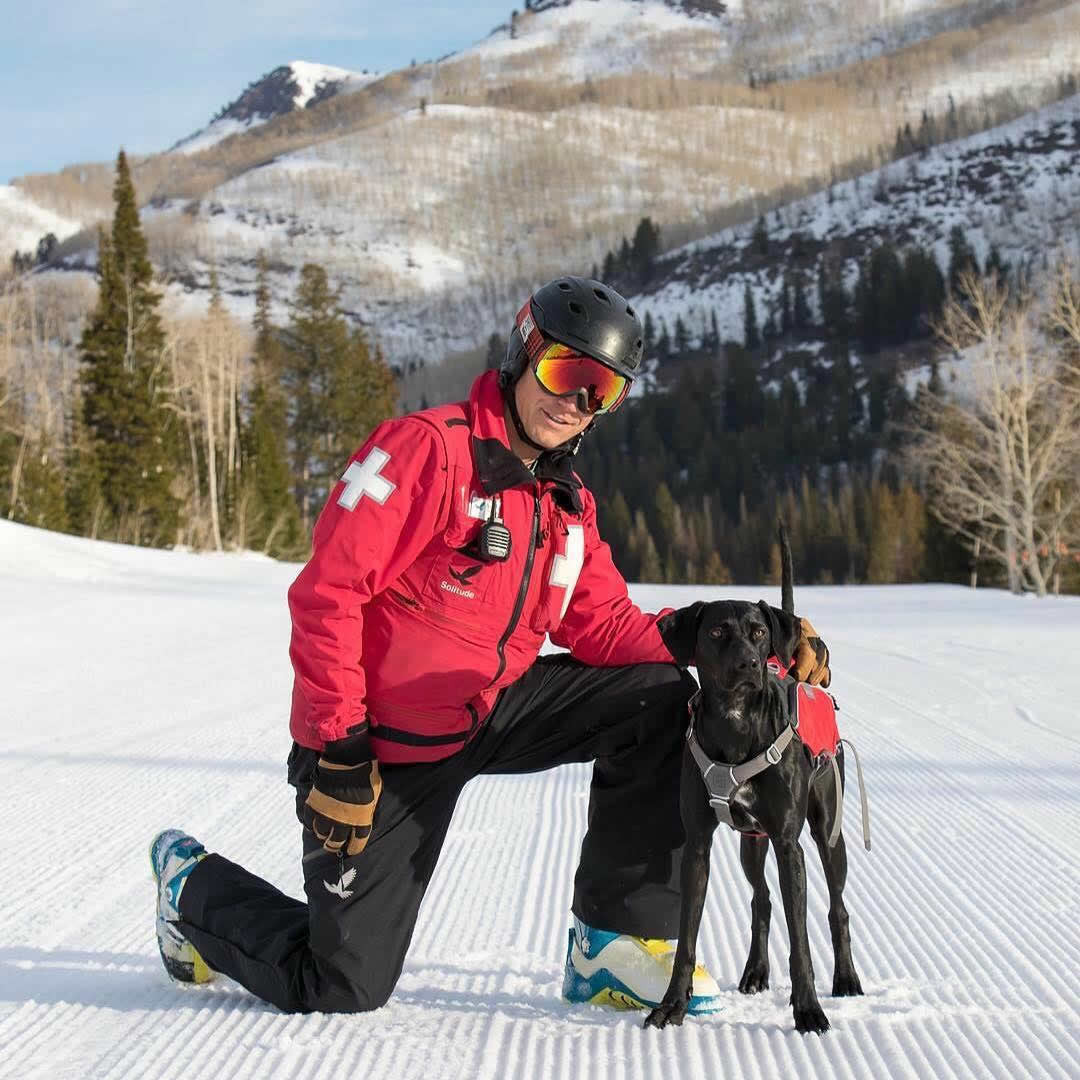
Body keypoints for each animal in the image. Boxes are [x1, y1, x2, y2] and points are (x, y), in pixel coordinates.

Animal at [643, 574, 864, 1028]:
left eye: (759, 633)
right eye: (715, 632)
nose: (748, 664)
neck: (737, 719)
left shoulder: (788, 845)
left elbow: (801, 943)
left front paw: (808, 1011)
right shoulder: (698, 846)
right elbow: (686, 940)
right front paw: (673, 1005)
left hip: (828, 834)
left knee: (838, 908)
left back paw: (846, 978)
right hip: (751, 845)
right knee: (761, 901)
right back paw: (756, 971)